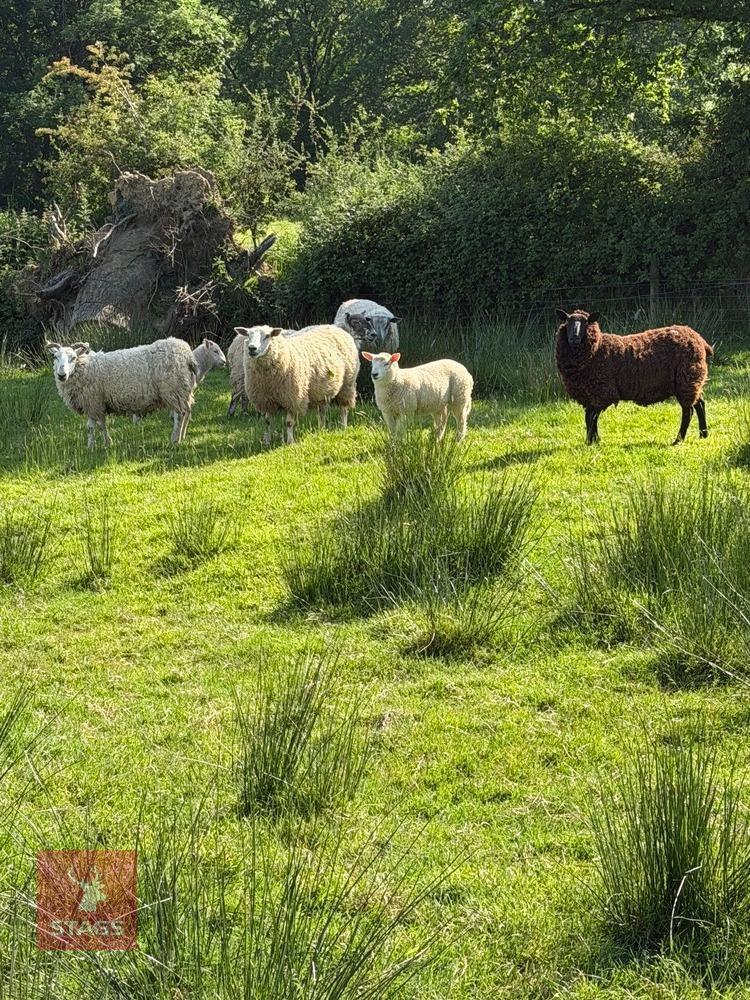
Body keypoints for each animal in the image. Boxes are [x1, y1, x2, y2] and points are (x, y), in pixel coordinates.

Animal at [47, 337, 198, 447]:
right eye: (55, 357)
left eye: (73, 358)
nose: (61, 375)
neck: (85, 366)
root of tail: (188, 355)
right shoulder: (95, 404)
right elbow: (97, 426)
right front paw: (99, 445)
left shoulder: (93, 402)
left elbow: (95, 426)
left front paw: (98, 445)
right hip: (184, 389)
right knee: (187, 412)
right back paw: (183, 436)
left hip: (173, 389)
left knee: (179, 415)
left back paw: (174, 439)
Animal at [555, 309, 714, 445]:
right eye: (568, 322)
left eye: (586, 322)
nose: (574, 339)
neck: (597, 349)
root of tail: (700, 339)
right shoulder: (590, 394)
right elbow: (589, 418)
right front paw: (594, 440)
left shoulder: (602, 392)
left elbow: (591, 418)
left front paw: (590, 441)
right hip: (692, 381)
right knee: (700, 403)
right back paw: (703, 434)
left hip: (686, 380)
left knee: (688, 411)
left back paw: (678, 440)